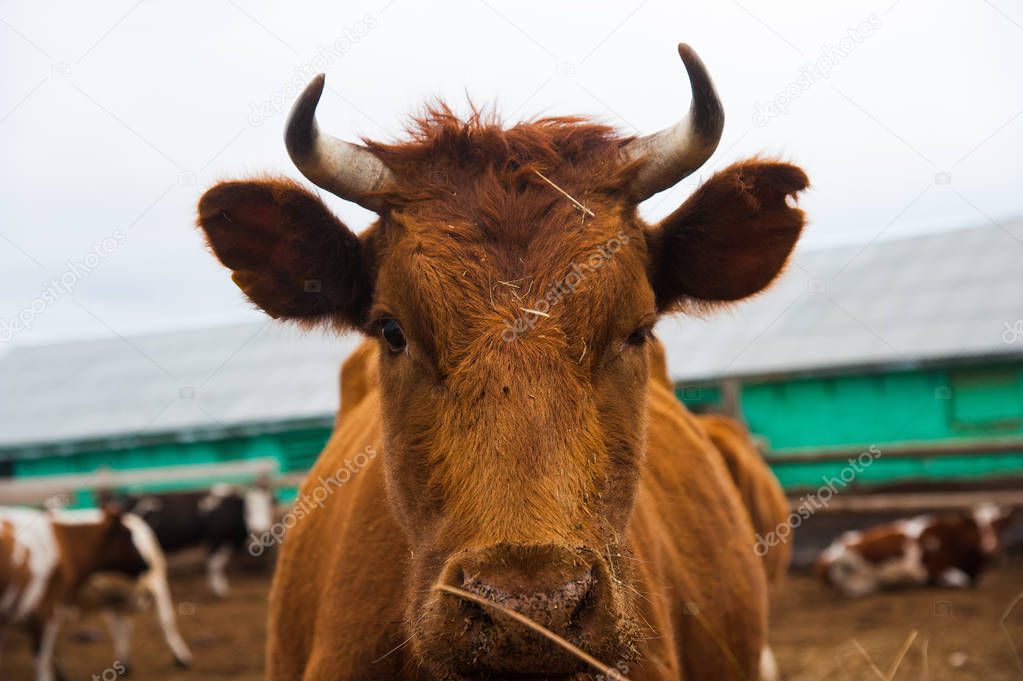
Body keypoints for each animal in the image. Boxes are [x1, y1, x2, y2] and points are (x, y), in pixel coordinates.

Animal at [102, 482, 276, 593]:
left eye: (268, 507)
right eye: (248, 509)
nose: (260, 528)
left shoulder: (225, 542)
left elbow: (219, 563)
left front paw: (219, 585)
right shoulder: (215, 539)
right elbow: (214, 564)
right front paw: (218, 589)